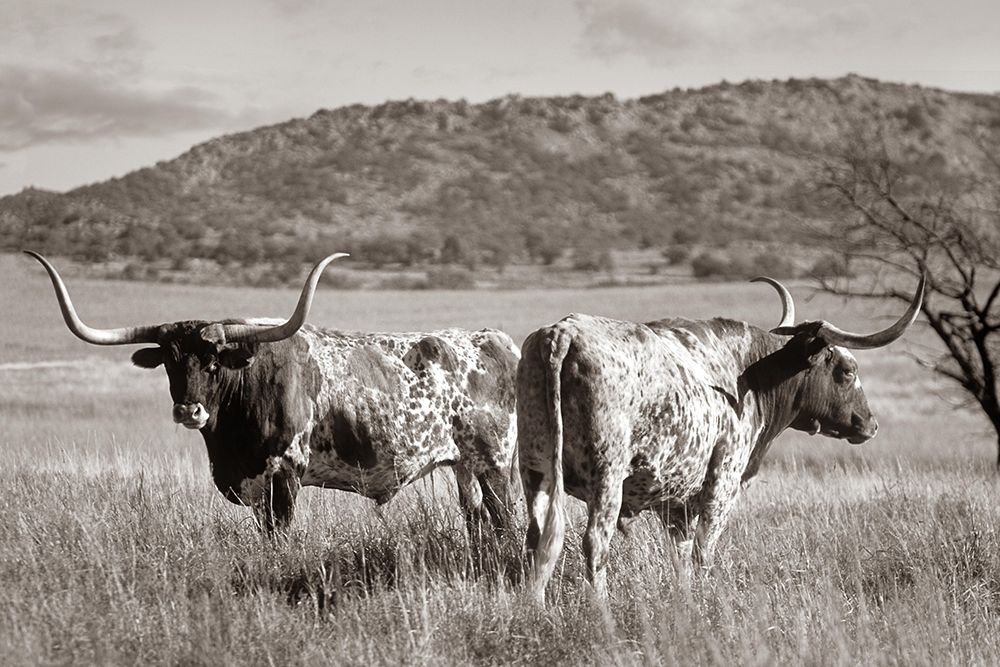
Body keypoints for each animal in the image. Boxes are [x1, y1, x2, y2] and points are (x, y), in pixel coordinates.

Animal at [26, 251, 519, 536]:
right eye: (169, 362)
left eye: (213, 361)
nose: (189, 410)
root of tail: (496, 340)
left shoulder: (284, 476)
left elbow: (279, 539)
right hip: (464, 467)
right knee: (478, 521)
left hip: (495, 464)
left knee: (505, 519)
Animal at [517, 273, 925, 600]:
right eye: (846, 370)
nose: (869, 424)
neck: (749, 374)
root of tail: (562, 333)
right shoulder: (722, 483)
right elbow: (703, 552)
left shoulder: (676, 504)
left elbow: (680, 557)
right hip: (607, 478)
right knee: (595, 543)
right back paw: (601, 611)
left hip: (535, 471)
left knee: (537, 540)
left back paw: (535, 607)